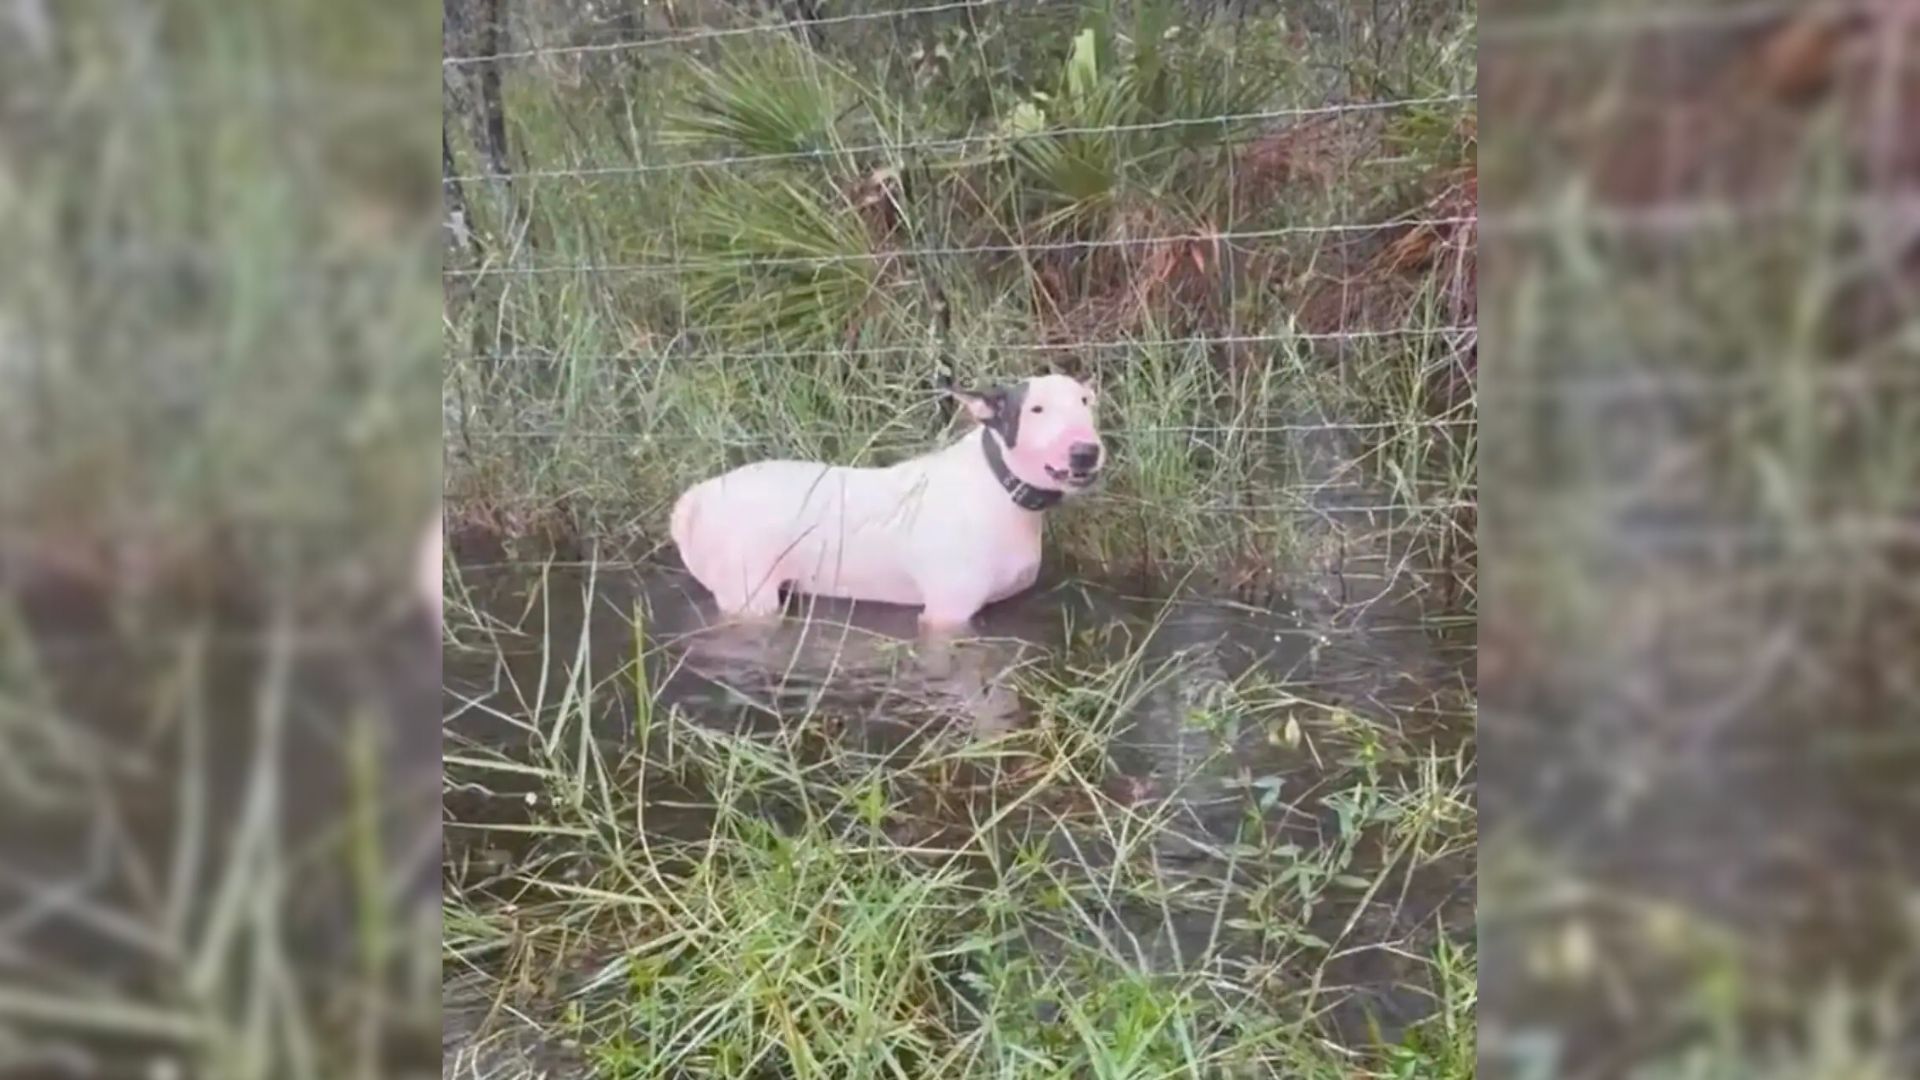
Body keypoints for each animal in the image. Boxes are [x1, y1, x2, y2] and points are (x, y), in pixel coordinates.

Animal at [672, 368, 1105, 626]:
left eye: (1086, 403)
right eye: (1036, 409)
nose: (1086, 452)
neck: (999, 488)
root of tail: (697, 497)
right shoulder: (946, 614)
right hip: (749, 595)